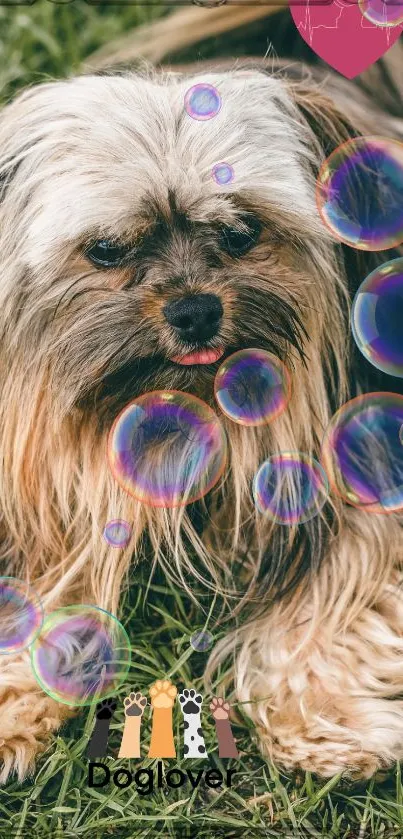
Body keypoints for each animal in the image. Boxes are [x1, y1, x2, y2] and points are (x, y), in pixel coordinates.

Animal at [0, 32, 403, 784]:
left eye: (241, 231)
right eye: (106, 249)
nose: (194, 311)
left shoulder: (355, 460)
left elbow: (329, 605)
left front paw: (319, 722)